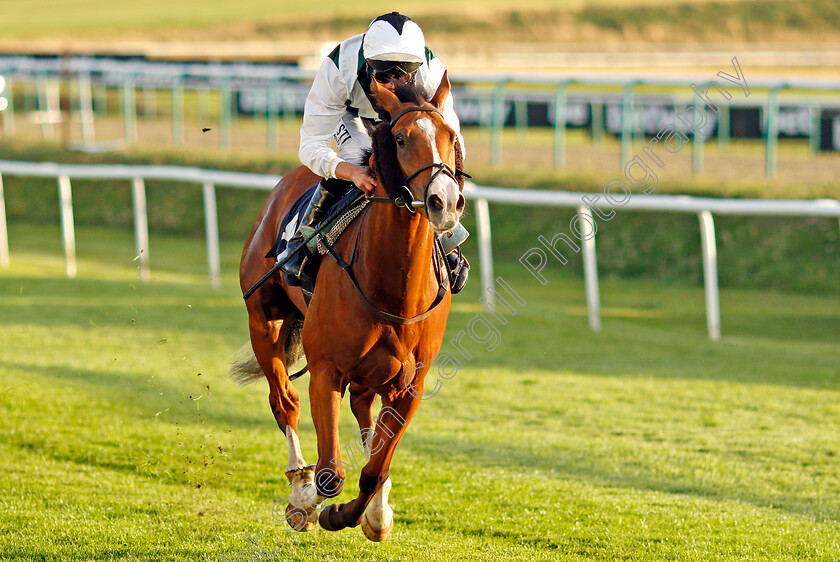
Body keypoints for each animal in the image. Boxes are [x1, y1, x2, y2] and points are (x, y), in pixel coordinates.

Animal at [230, 73, 466, 540]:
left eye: (450, 136)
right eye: (400, 138)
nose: (445, 201)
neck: (392, 286)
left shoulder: (410, 383)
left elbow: (374, 469)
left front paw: (366, 514)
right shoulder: (327, 370)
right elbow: (331, 474)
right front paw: (310, 502)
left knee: (362, 410)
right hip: (263, 321)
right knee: (284, 400)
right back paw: (299, 482)